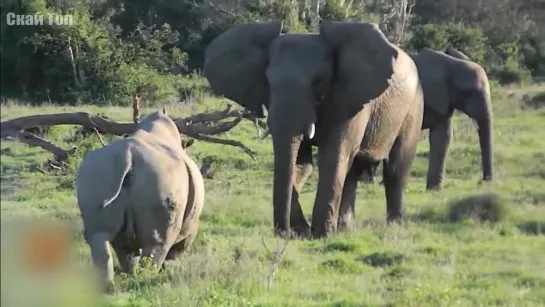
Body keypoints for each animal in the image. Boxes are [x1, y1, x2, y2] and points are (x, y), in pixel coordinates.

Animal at [75, 109, 204, 294]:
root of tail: (127, 155)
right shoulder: (191, 226)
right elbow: (177, 250)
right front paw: (169, 269)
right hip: (160, 179)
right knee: (157, 243)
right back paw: (144, 281)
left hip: (98, 170)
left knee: (100, 236)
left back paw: (108, 288)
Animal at [202, 20, 422, 239]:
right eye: (268, 80)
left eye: (319, 81)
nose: (284, 233)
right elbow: (301, 162)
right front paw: (302, 231)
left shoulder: (350, 98)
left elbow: (333, 156)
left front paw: (321, 235)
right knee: (354, 170)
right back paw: (344, 228)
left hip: (413, 106)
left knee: (396, 167)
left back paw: (394, 225)